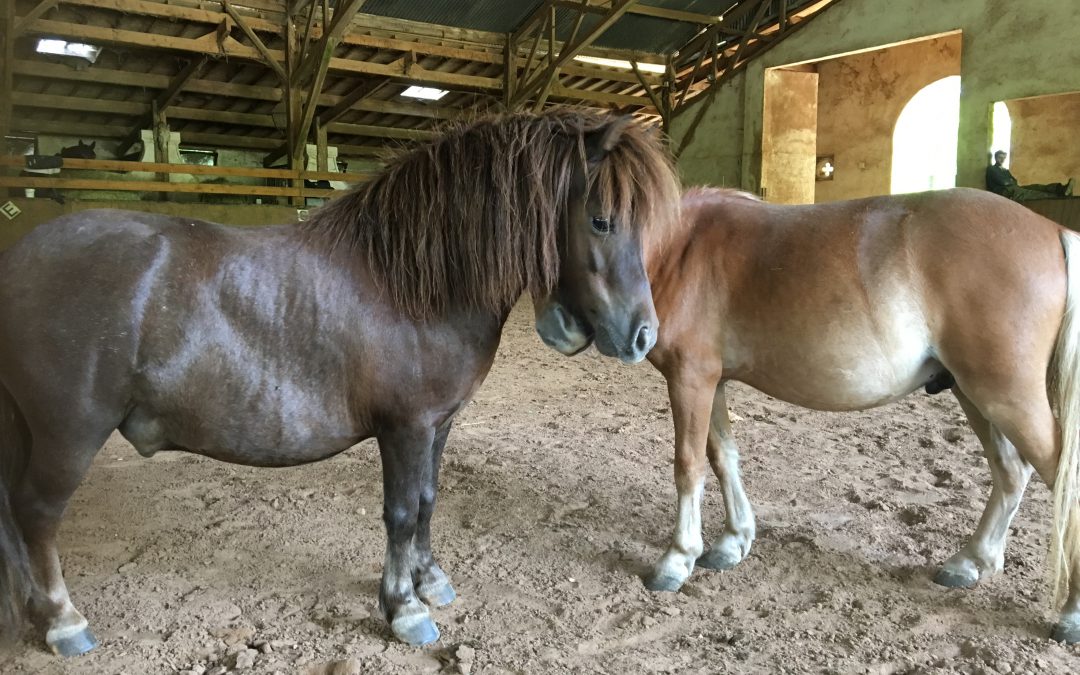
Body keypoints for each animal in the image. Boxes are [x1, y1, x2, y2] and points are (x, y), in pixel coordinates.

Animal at [0, 110, 678, 652]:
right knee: (36, 513)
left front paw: (430, 582)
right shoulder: (405, 427)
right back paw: (62, 621)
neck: (414, 283)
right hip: (68, 434)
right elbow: (401, 512)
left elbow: (428, 500)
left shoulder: (438, 425)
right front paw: (403, 609)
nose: (643, 336)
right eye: (601, 220)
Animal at [548, 185, 1080, 643]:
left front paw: (677, 560)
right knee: (1011, 472)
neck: (683, 248)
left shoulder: (689, 378)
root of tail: (1053, 230)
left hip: (1003, 394)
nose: (559, 329)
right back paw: (970, 562)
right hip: (974, 393)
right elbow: (724, 458)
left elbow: (689, 465)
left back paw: (1068, 613)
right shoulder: (712, 381)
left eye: (599, 222)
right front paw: (733, 542)